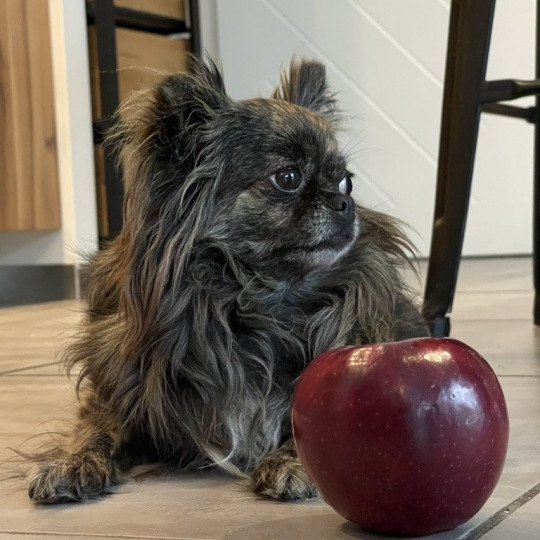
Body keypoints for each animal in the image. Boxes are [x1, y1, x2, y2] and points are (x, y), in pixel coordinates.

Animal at [27, 57, 428, 504]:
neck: (251, 305)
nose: (345, 202)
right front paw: (71, 463)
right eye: (287, 178)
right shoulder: (126, 396)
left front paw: (293, 462)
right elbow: (95, 428)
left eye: (347, 181)